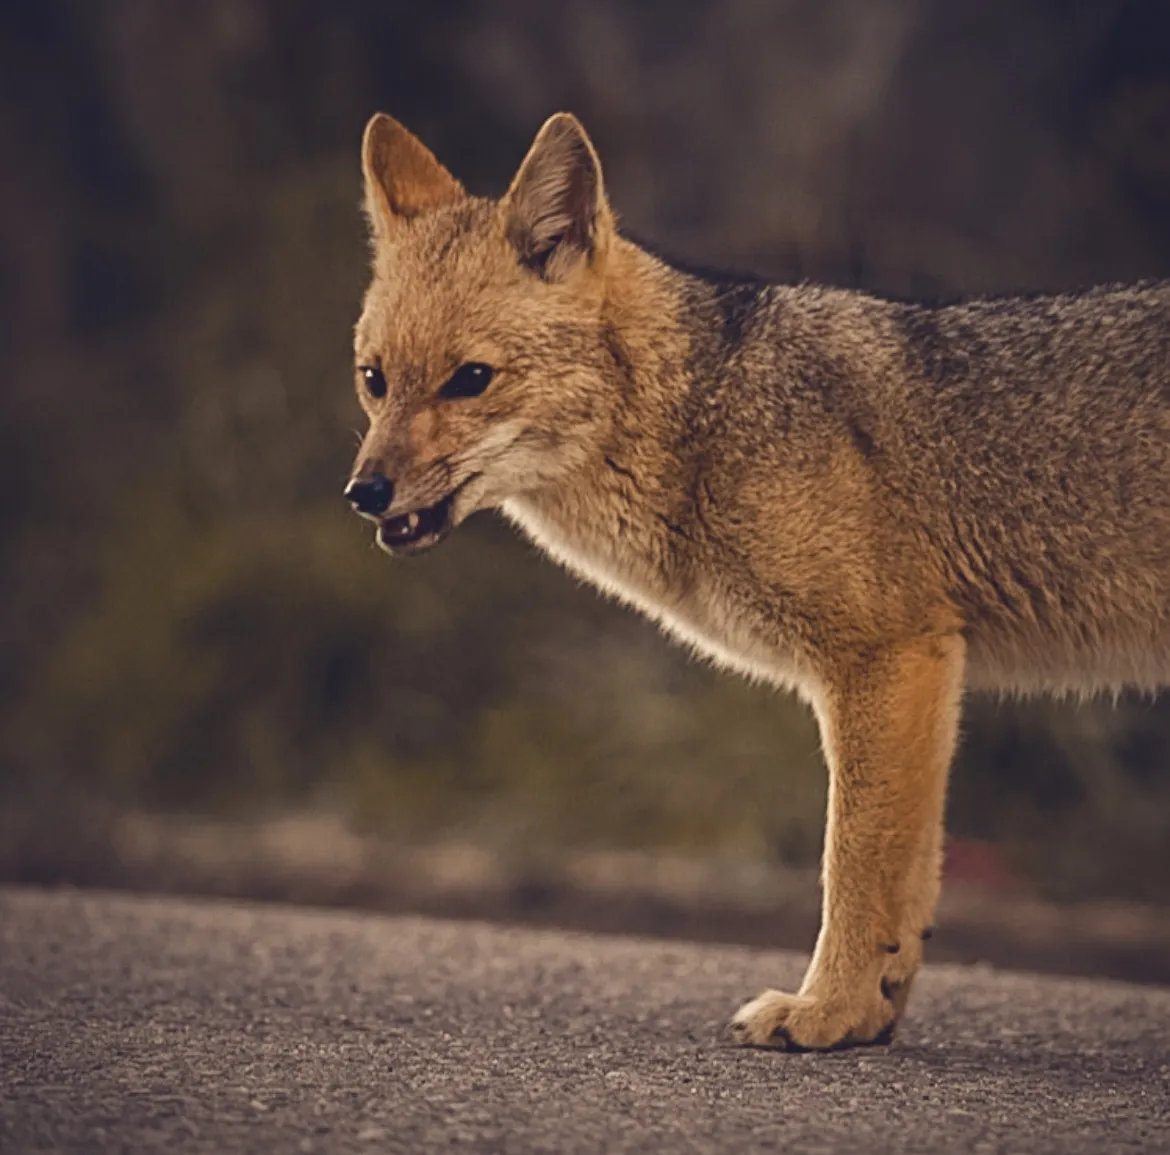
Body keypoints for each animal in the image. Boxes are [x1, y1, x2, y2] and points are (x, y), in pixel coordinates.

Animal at [344, 111, 1170, 1051]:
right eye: (374, 379)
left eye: (470, 379)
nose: (363, 492)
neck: (701, 421)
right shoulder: (923, 674)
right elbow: (910, 886)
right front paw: (870, 1014)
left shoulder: (886, 660)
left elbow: (853, 865)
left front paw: (826, 1012)